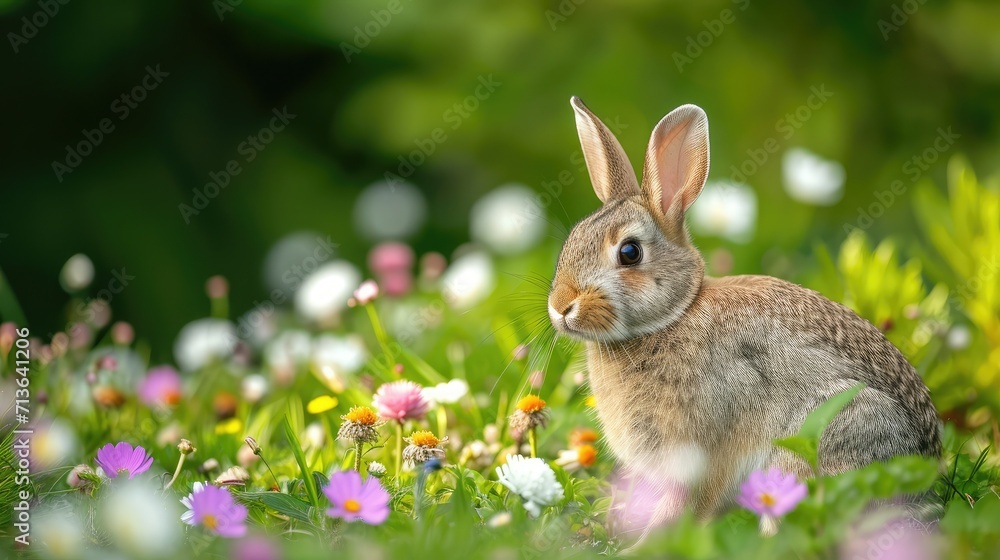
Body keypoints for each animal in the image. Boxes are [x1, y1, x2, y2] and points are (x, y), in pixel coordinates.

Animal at [547, 96, 941, 536]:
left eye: (629, 252)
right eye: (572, 240)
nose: (560, 306)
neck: (673, 316)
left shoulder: (702, 446)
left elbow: (686, 505)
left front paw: (647, 540)